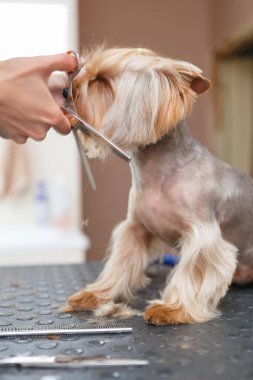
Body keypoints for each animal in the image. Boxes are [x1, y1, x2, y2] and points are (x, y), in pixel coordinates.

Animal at [65, 46, 253, 326]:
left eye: (101, 80)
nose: (66, 90)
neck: (160, 171)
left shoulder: (202, 234)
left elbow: (192, 271)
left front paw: (172, 309)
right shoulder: (134, 229)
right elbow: (119, 265)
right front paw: (96, 295)